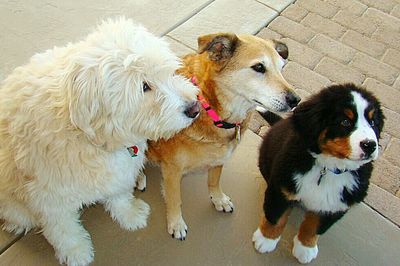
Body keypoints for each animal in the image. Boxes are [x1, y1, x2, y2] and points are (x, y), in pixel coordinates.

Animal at [0, 17, 199, 264]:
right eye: (144, 86)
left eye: (170, 73)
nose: (195, 108)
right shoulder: (49, 198)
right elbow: (64, 230)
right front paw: (77, 252)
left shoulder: (118, 173)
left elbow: (119, 196)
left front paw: (130, 215)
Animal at [145, 32, 298, 240]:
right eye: (259, 67)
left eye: (282, 67)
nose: (296, 100)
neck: (209, 106)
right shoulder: (172, 169)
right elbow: (175, 199)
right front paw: (176, 223)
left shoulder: (219, 159)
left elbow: (214, 181)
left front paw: (218, 199)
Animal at [253, 83, 384, 264]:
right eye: (345, 122)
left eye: (373, 122)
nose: (370, 145)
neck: (328, 168)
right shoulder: (282, 187)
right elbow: (275, 216)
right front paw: (265, 240)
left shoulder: (337, 204)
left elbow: (314, 227)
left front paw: (305, 249)